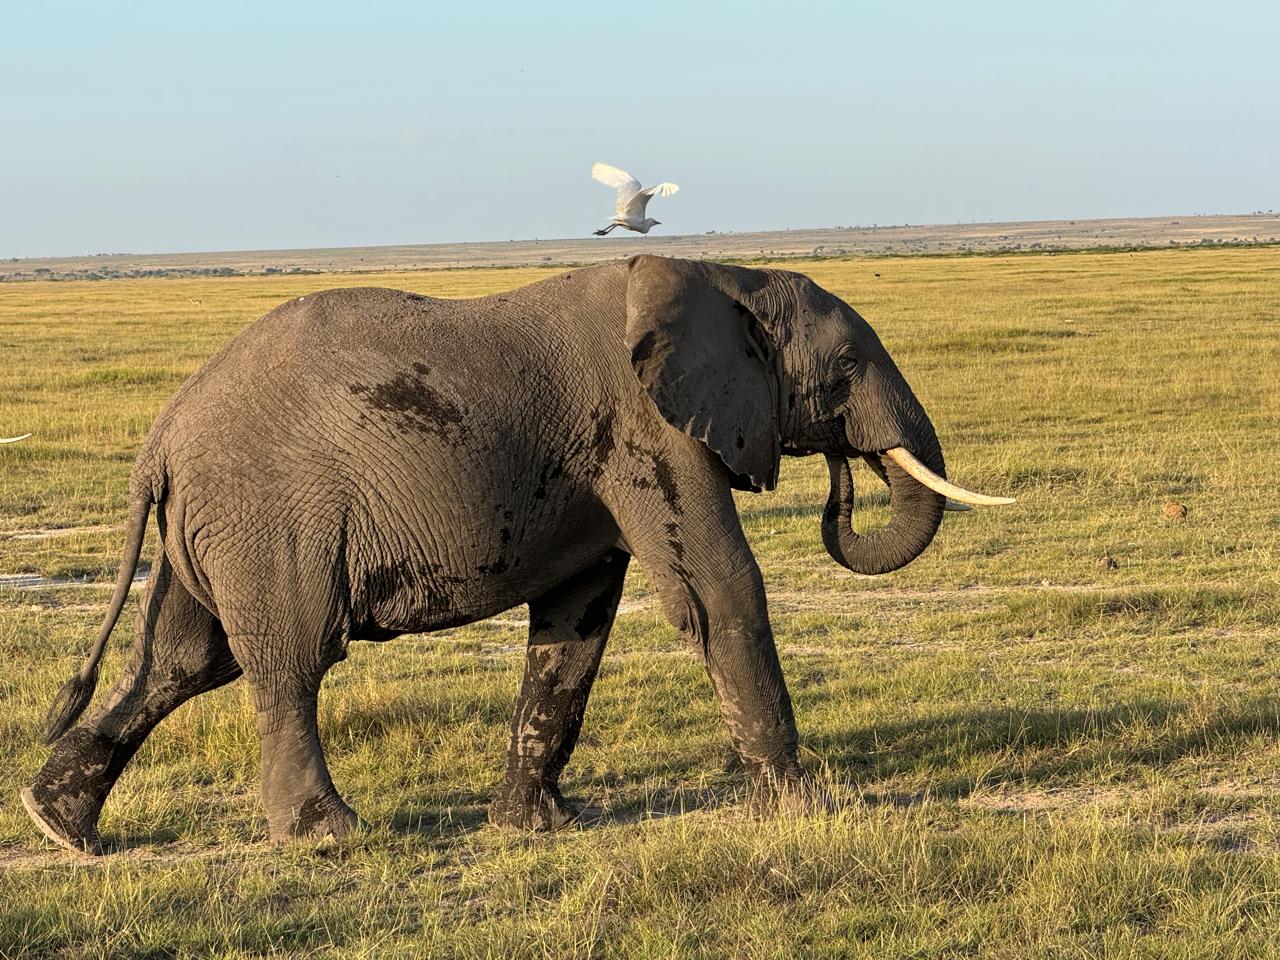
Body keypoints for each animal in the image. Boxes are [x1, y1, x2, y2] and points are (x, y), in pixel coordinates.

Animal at [22, 255, 1011, 854]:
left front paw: (536, 828)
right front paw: (808, 808)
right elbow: (719, 589)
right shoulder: (647, 431)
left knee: (182, 663)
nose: (846, 474)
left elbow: (576, 624)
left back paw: (60, 826)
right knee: (289, 662)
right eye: (844, 370)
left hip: (214, 530)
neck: (727, 273)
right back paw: (331, 836)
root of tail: (158, 441)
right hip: (269, 519)